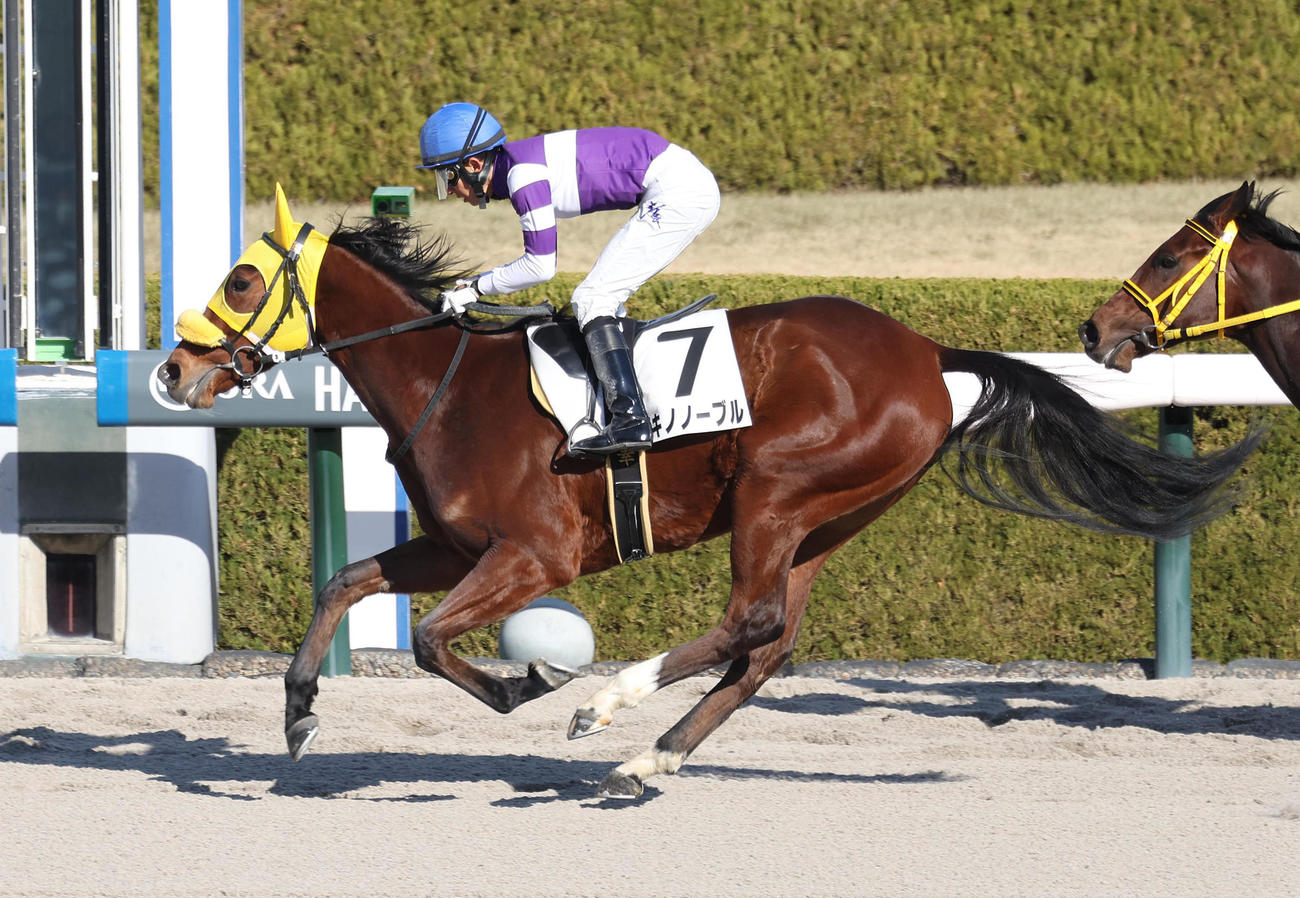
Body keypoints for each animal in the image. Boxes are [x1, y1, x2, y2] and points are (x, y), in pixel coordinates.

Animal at [159, 187, 1256, 799]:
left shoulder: (533, 555)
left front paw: (528, 683)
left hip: (778, 488)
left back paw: (609, 709)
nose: (172, 371)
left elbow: (430, 640)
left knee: (747, 621)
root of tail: (926, 351)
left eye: (244, 281)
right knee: (767, 643)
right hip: (827, 517)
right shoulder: (459, 545)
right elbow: (344, 580)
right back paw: (648, 760)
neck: (449, 383)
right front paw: (299, 713)